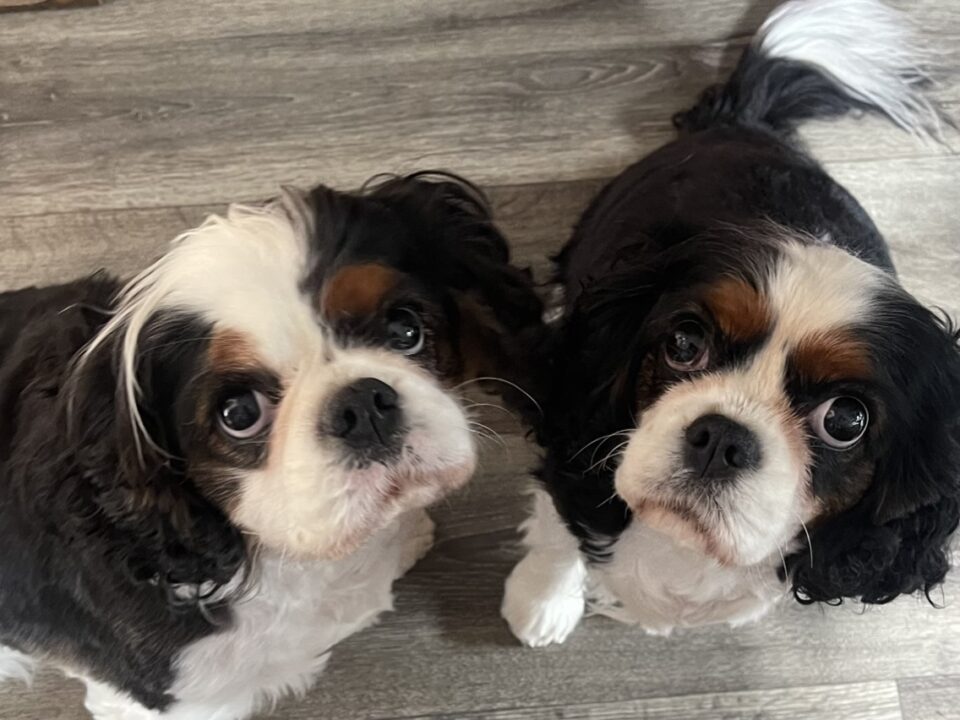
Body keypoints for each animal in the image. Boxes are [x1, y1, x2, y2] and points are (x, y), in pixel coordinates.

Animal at [502, 0, 960, 648]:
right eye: (684, 343)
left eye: (846, 420)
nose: (722, 438)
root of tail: (741, 120)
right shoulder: (574, 443)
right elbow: (558, 528)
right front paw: (541, 601)